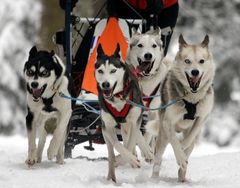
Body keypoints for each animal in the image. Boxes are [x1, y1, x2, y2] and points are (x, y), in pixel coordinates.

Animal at [95, 43, 153, 181]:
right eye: (100, 71)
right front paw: (125, 159)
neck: (117, 97)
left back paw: (146, 152)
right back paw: (111, 175)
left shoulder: (135, 120)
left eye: (113, 70)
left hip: (133, 119)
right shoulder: (107, 126)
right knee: (111, 151)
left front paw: (129, 159)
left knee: (135, 136)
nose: (105, 84)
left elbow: (131, 142)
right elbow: (117, 144)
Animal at [152, 34, 216, 181]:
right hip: (162, 136)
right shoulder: (168, 122)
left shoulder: (201, 118)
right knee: (158, 157)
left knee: (190, 144)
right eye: (187, 61)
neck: (191, 98)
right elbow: (175, 143)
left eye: (201, 61)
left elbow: (188, 140)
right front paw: (180, 156)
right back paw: (154, 177)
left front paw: (183, 151)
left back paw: (182, 175)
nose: (195, 72)